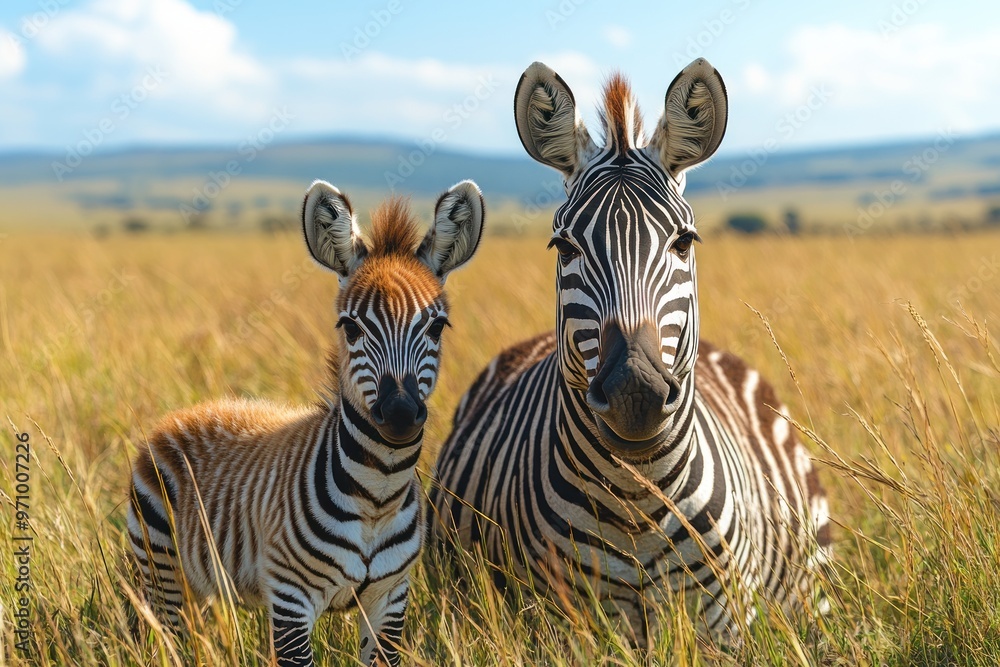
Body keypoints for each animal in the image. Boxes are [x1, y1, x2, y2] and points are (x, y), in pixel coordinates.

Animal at [127, 179, 485, 667]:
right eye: (350, 328)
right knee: (161, 639)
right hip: (158, 569)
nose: (399, 415)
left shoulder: (391, 599)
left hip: (198, 585)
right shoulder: (290, 599)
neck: (378, 494)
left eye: (437, 328)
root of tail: (185, 412)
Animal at [430, 59, 831, 645]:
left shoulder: (722, 622)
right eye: (564, 247)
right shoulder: (567, 624)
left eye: (684, 242)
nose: (633, 393)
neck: (637, 499)